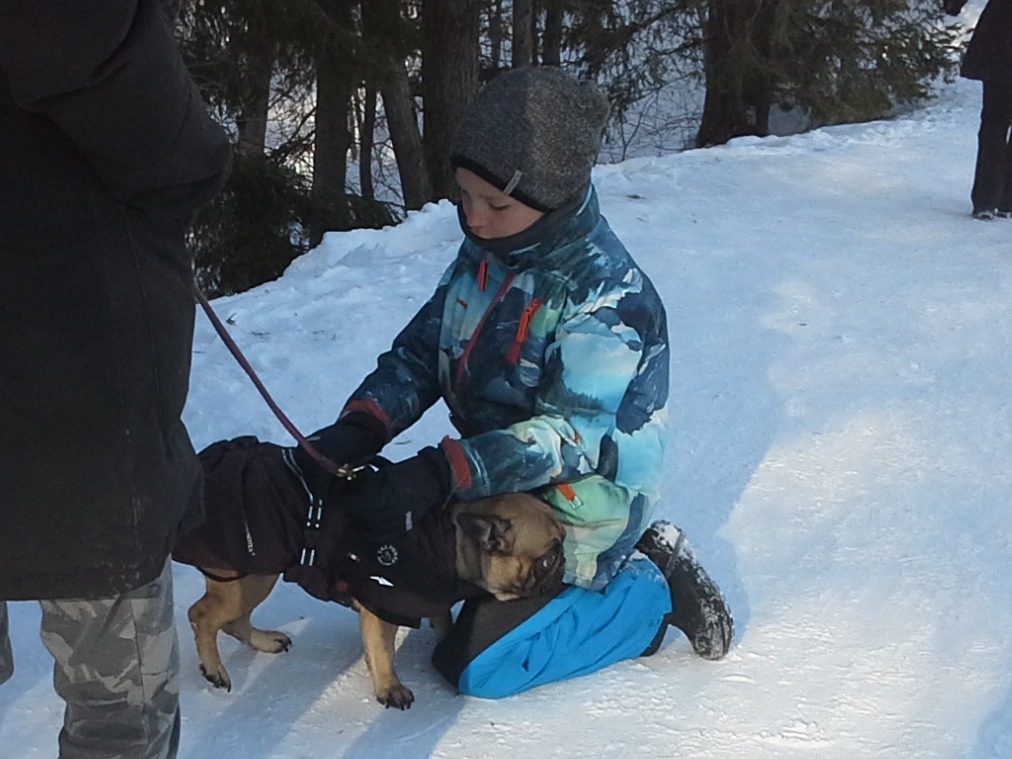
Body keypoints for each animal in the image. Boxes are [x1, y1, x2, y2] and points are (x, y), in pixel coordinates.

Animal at [176, 437, 570, 712]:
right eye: (547, 558)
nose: (566, 559)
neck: (450, 538)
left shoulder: (431, 597)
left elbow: (442, 618)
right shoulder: (382, 605)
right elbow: (382, 649)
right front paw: (389, 688)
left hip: (252, 578)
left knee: (232, 620)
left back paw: (264, 641)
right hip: (254, 575)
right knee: (204, 615)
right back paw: (214, 669)